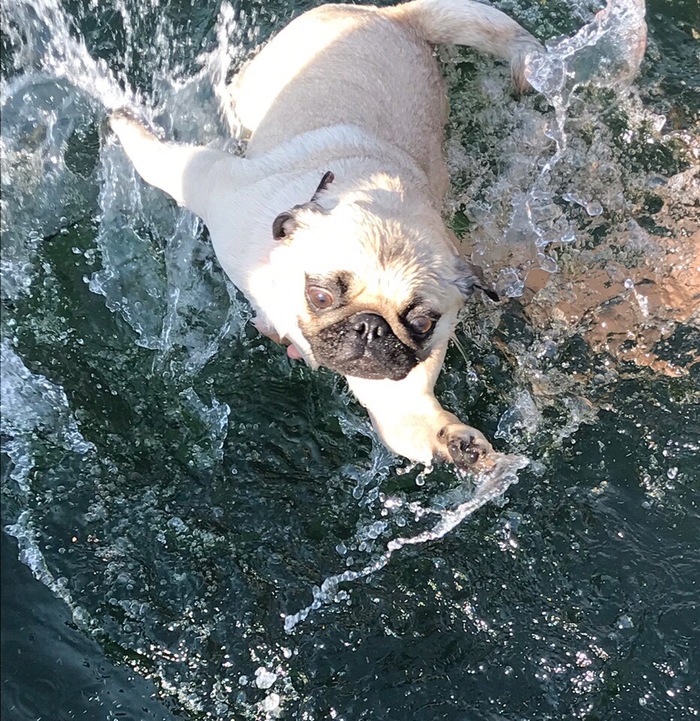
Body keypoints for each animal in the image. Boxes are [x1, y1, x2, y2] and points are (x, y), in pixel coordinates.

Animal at [112, 0, 544, 470]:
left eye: (423, 324)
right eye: (320, 297)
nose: (371, 327)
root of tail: (395, 16)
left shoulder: (398, 390)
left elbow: (411, 421)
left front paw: (457, 445)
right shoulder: (217, 189)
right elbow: (169, 164)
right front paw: (123, 123)